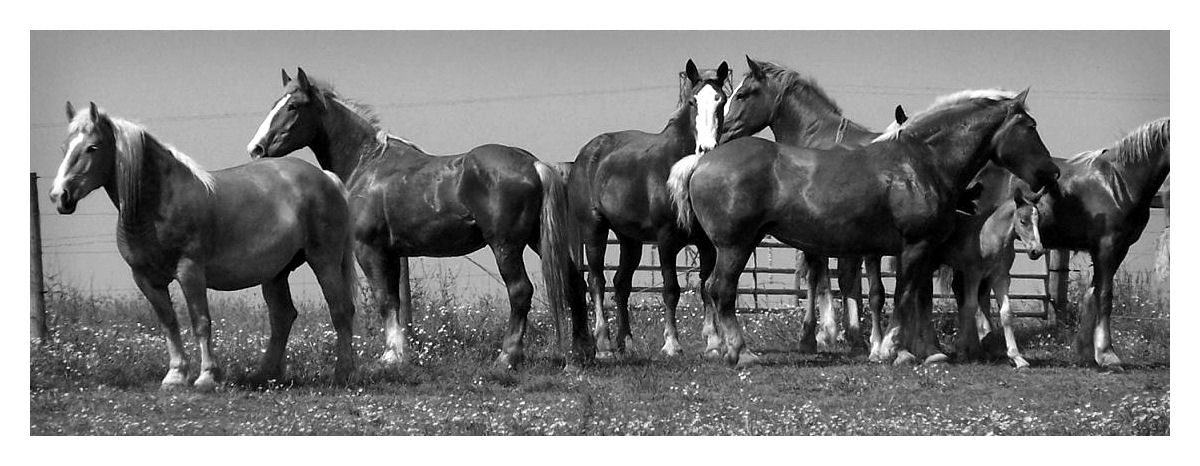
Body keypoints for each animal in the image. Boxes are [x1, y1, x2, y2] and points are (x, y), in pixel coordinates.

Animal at [49, 102, 357, 390]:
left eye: (92, 147)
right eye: (64, 147)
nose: (59, 196)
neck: (160, 202)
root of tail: (327, 178)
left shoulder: (190, 272)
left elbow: (201, 322)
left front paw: (207, 376)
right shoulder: (146, 279)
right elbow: (169, 323)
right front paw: (175, 376)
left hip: (324, 260)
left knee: (341, 310)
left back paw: (343, 374)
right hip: (276, 272)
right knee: (282, 317)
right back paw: (265, 375)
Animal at [247, 69, 593, 369]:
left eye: (293, 106)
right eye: (274, 104)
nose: (256, 149)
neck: (367, 163)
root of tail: (534, 164)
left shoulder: (369, 250)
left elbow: (385, 300)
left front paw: (392, 356)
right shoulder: (392, 253)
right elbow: (395, 301)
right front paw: (401, 351)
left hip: (505, 246)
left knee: (521, 291)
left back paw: (507, 357)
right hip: (537, 240)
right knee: (574, 283)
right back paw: (581, 354)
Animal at [568, 59, 730, 358]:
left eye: (721, 100)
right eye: (692, 101)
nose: (706, 148)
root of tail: (587, 154)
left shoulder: (705, 243)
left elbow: (705, 287)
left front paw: (713, 343)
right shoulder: (666, 240)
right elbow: (671, 289)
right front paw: (672, 344)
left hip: (630, 239)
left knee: (621, 284)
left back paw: (627, 343)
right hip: (594, 229)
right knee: (596, 281)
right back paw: (604, 344)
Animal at [671, 89, 1060, 367]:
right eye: (1031, 127)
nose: (1052, 172)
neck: (921, 162)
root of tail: (704, 161)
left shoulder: (920, 251)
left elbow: (915, 297)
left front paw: (919, 350)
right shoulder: (915, 247)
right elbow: (904, 296)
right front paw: (891, 349)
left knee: (714, 290)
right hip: (735, 246)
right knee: (720, 289)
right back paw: (741, 353)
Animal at [1021, 118, 1169, 368]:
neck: (1118, 182)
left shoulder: (1117, 250)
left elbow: (1092, 294)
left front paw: (1087, 351)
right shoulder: (1107, 248)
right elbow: (1105, 296)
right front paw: (1108, 355)